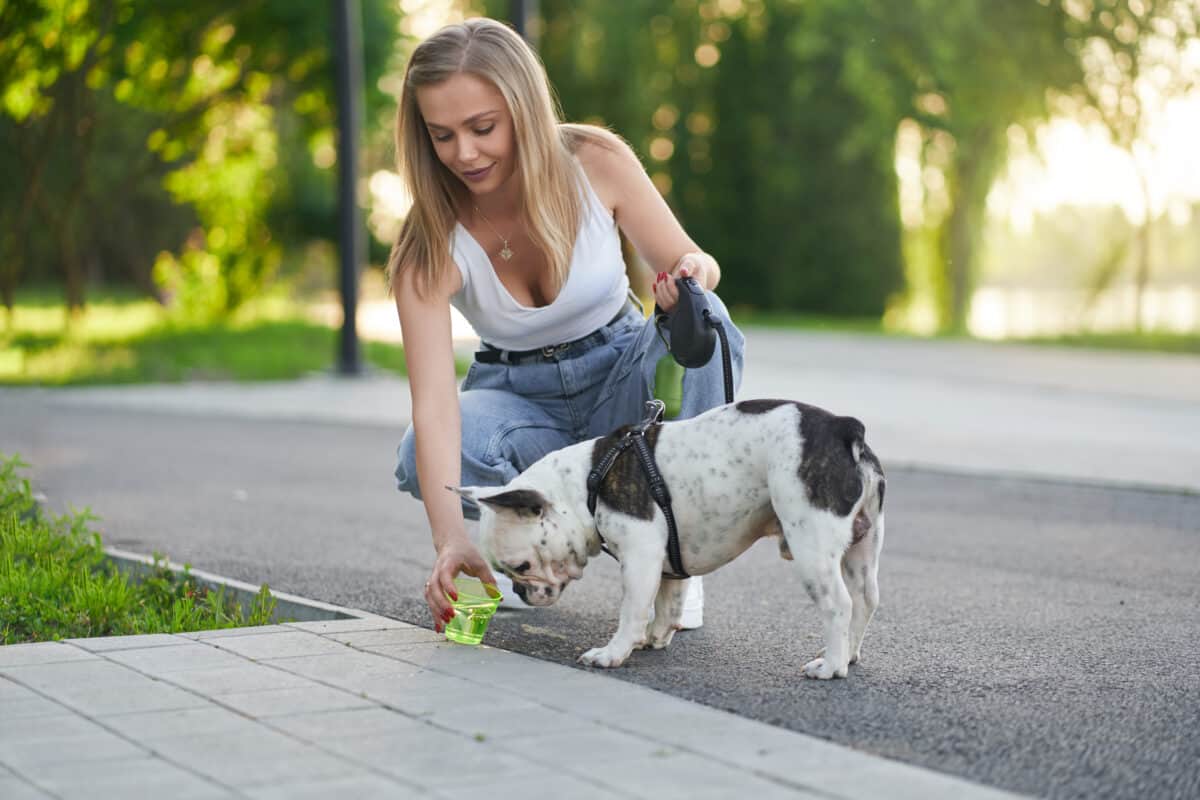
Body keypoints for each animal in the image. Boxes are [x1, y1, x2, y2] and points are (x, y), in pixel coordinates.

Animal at [451, 398, 883, 681]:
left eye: (521, 567)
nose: (520, 591)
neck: (585, 484)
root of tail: (845, 428)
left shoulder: (640, 555)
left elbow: (632, 610)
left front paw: (613, 653)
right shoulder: (666, 560)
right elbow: (666, 600)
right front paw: (655, 637)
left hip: (811, 545)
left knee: (839, 604)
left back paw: (830, 666)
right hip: (863, 547)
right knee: (865, 599)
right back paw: (850, 654)